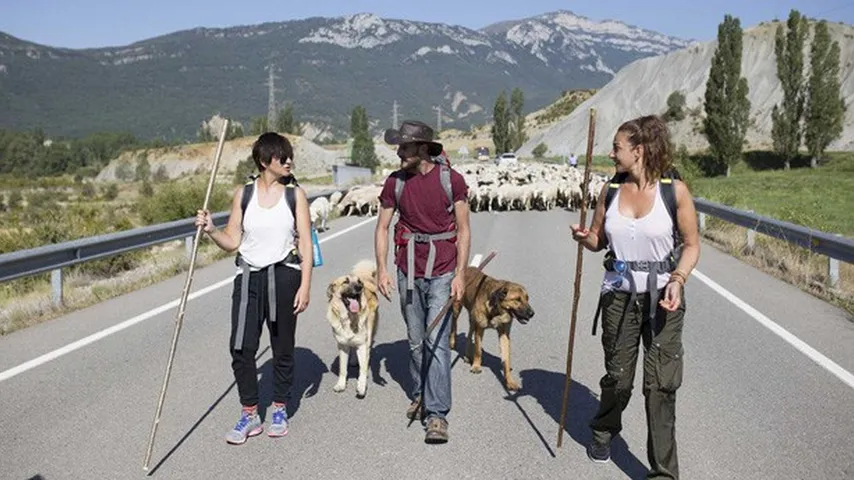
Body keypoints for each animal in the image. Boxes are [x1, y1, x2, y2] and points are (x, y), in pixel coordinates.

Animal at [326, 258, 380, 398]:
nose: (359, 287)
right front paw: (341, 384)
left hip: (369, 332)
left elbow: (363, 369)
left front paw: (361, 386)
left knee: (367, 351)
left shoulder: (362, 344)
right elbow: (342, 369)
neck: (349, 319)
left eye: (358, 282)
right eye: (345, 281)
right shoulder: (342, 346)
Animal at [448, 264, 536, 392]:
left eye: (527, 298)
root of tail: (468, 267)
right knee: (454, 324)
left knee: (469, 333)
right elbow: (478, 350)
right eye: (517, 299)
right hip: (457, 307)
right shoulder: (480, 329)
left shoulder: (504, 334)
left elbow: (506, 358)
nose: (532, 314)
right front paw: (476, 366)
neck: (497, 310)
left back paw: (467, 355)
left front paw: (510, 381)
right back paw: (452, 342)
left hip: (472, 318)